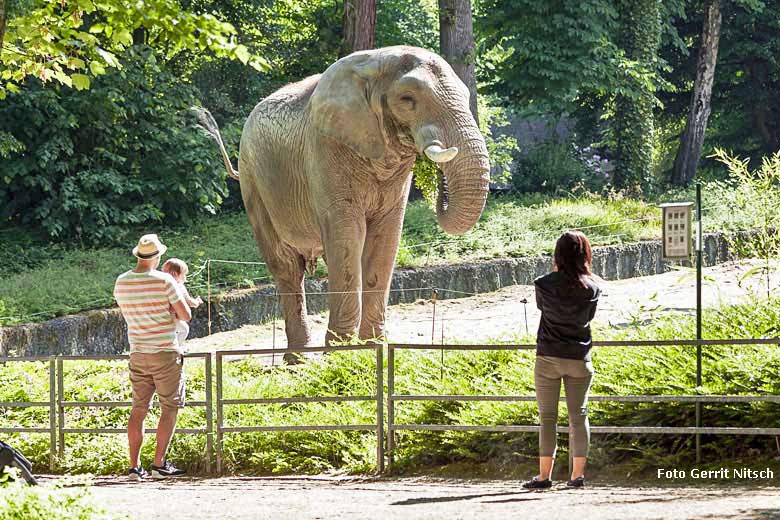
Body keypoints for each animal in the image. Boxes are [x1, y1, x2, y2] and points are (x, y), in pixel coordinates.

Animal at [195, 45, 488, 354]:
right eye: (408, 99)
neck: (377, 61)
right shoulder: (325, 147)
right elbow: (347, 235)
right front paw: (342, 354)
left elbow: (385, 238)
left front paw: (372, 348)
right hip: (253, 181)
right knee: (286, 266)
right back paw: (297, 359)